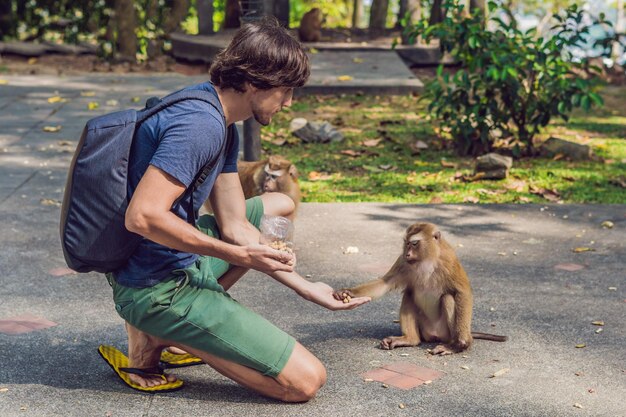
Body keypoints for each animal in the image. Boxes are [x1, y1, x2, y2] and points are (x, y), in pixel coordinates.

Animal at [334, 221, 504, 354]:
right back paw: (410, 340)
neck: (426, 259)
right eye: (407, 243)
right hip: (424, 328)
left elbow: (462, 292)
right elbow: (385, 283)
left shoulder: (449, 259)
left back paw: (453, 345)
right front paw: (347, 293)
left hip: (445, 331)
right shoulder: (403, 262)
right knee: (409, 294)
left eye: (414, 243)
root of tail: (434, 335)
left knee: (448, 298)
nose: (408, 253)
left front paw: (461, 343)